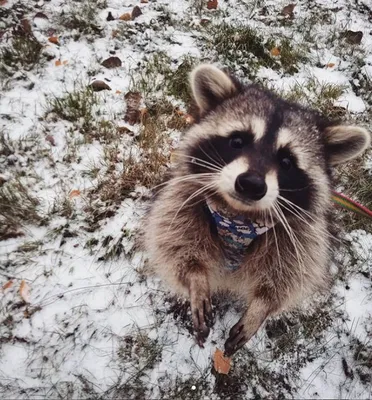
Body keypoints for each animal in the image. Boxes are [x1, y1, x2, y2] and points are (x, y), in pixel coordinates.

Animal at [142, 65, 370, 356]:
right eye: (237, 141)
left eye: (287, 161)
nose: (251, 184)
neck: (239, 216)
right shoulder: (181, 200)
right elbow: (175, 244)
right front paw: (196, 277)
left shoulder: (301, 235)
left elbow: (290, 277)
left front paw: (261, 308)